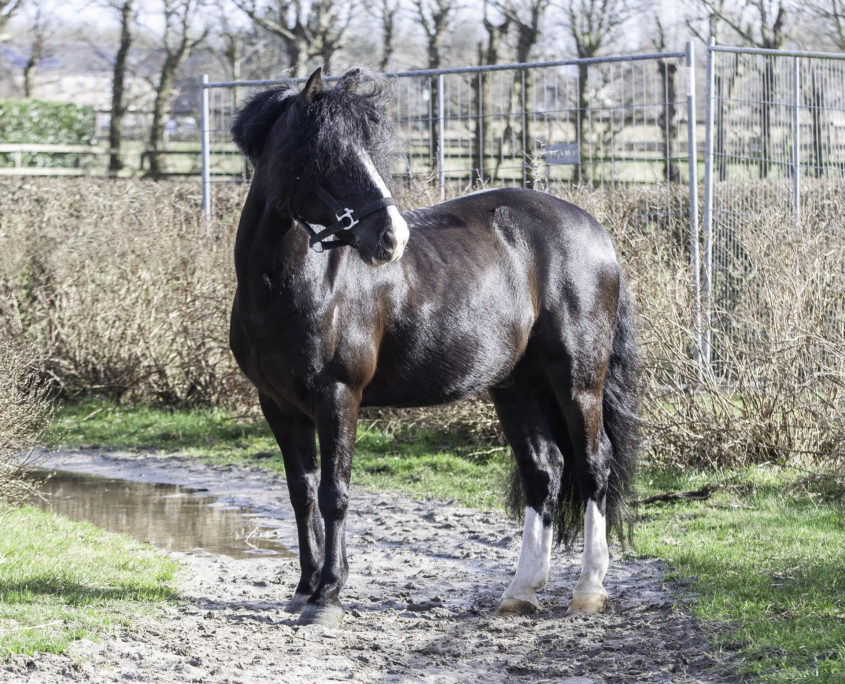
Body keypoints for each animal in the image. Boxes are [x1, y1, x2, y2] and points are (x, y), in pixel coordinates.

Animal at [229, 67, 638, 628]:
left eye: (368, 149)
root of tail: (596, 231)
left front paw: (328, 596)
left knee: (594, 463)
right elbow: (301, 493)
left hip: (578, 379)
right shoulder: (278, 405)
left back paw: (589, 590)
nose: (391, 237)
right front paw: (304, 588)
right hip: (516, 386)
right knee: (545, 471)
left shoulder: (338, 396)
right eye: (324, 152)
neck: (291, 285)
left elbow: (335, 494)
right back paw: (520, 591)